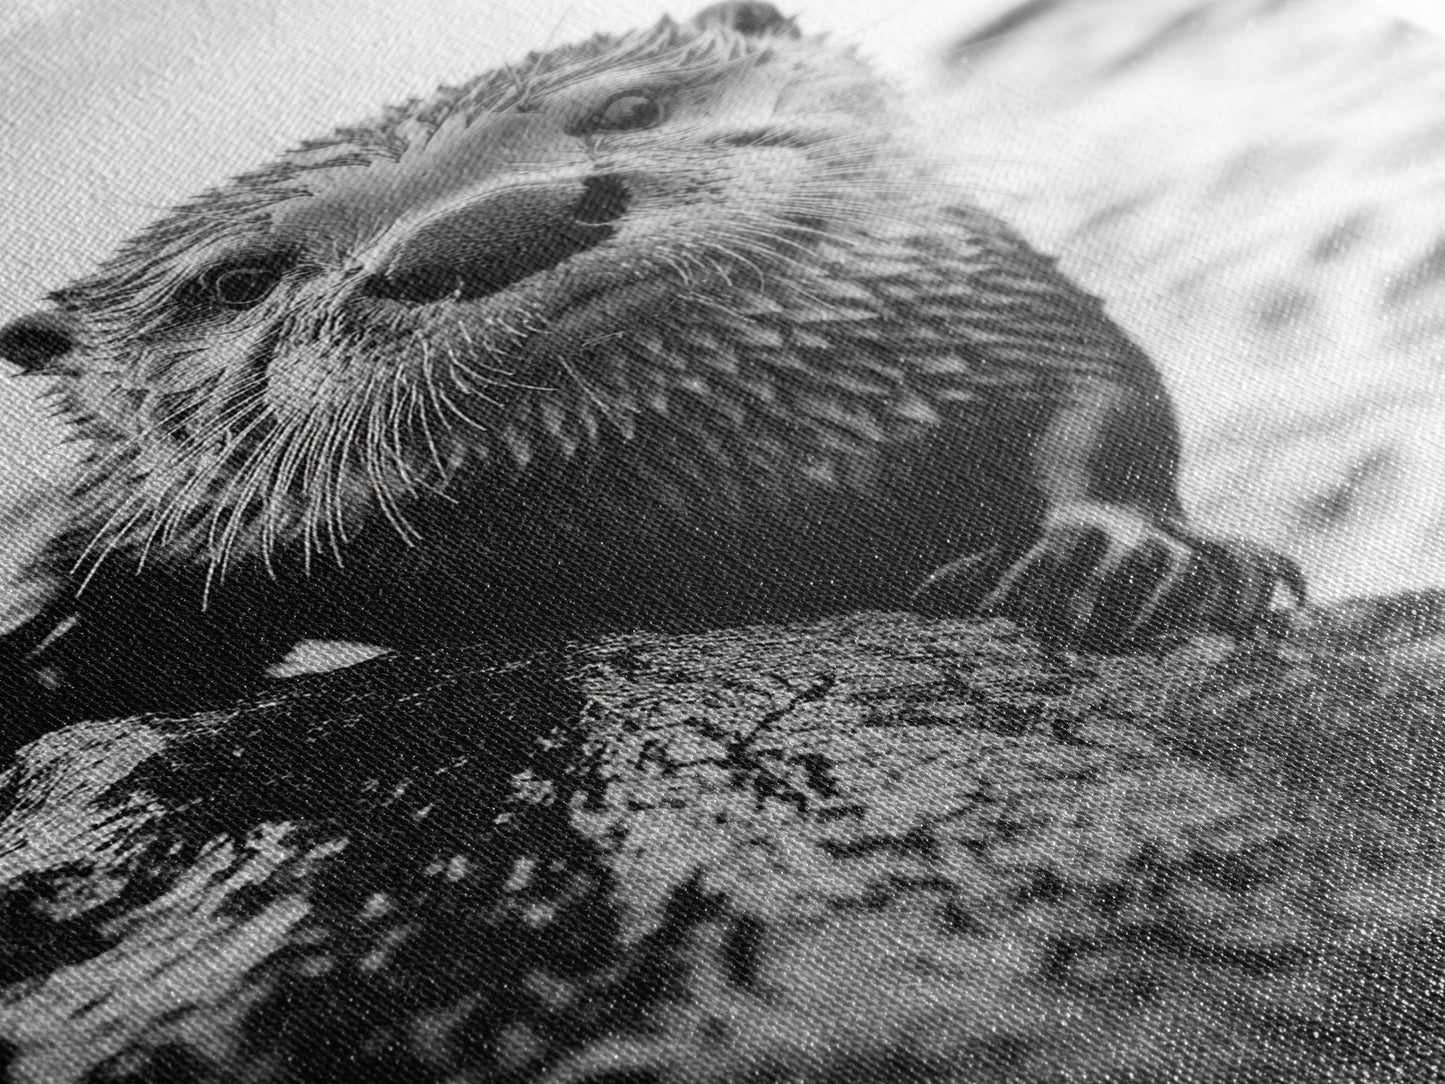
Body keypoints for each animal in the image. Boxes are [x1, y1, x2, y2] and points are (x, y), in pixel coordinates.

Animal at [0, 1, 1301, 727]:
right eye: (235, 282)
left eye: (629, 106)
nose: (492, 223)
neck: (727, 514)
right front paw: (54, 638)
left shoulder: (991, 294)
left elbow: (1101, 402)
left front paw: (1120, 557)